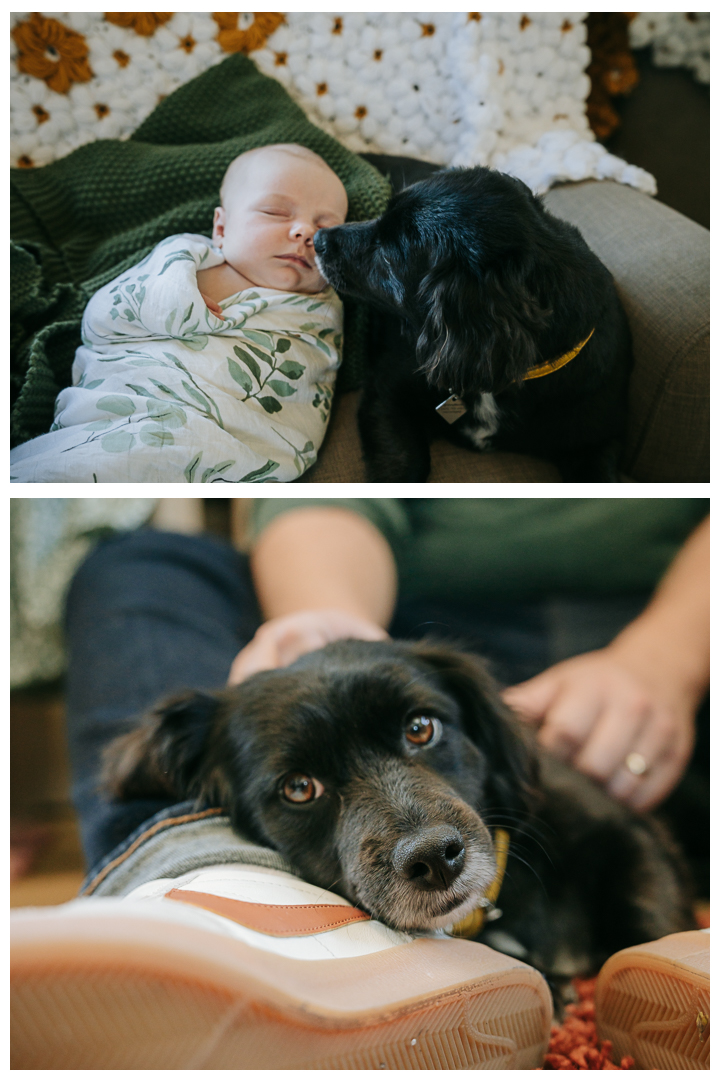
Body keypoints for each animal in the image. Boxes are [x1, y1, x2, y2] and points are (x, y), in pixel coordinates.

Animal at [313, 167, 634, 481]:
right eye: (381, 215)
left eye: (388, 255)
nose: (317, 239)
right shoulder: (387, 394)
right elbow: (406, 467)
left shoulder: (598, 442)